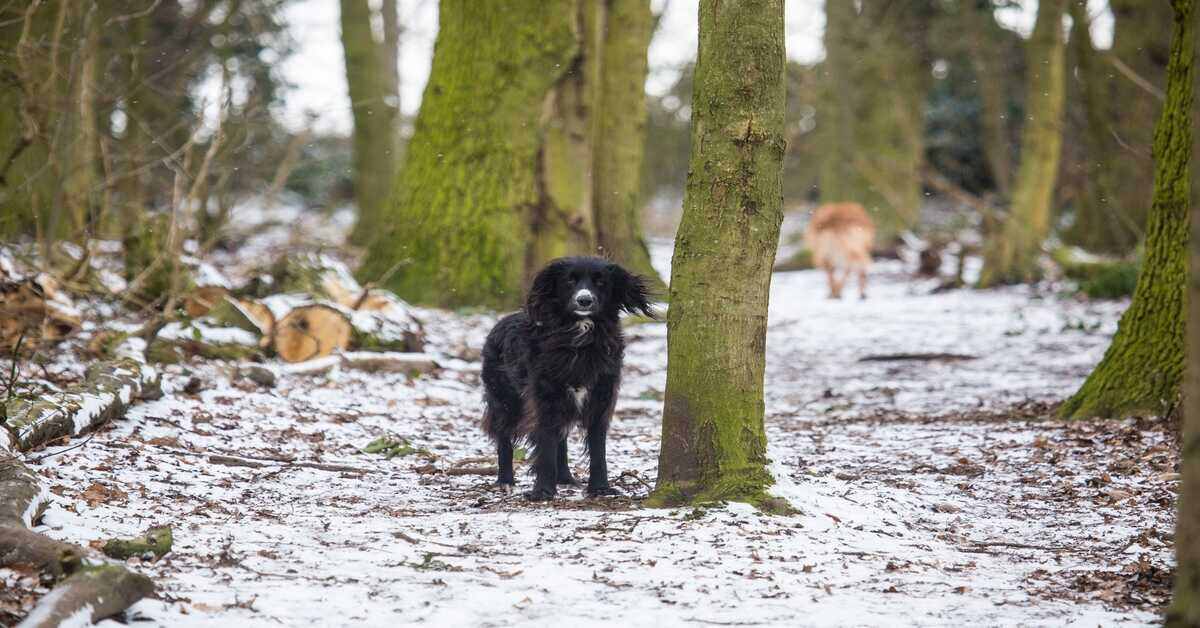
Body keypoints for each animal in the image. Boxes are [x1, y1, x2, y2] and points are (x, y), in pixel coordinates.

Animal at [477, 255, 652, 501]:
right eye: (570, 280)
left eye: (600, 281)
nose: (584, 300)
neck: (580, 336)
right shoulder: (544, 398)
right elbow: (546, 445)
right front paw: (542, 491)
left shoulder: (601, 398)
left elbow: (597, 447)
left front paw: (600, 488)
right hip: (505, 399)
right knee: (504, 436)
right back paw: (505, 480)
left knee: (561, 438)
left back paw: (564, 478)